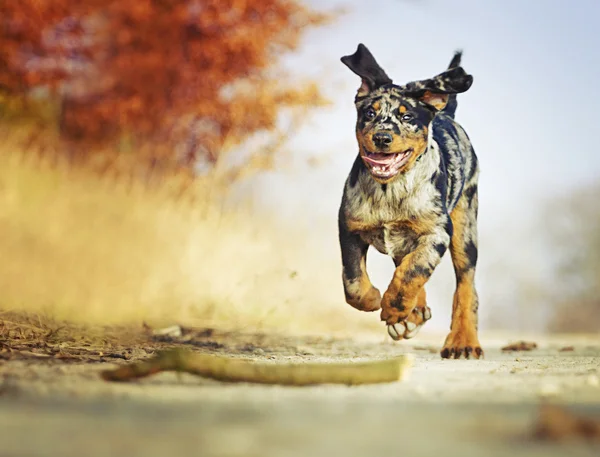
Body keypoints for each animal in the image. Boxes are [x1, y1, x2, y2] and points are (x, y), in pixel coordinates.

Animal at [338, 43, 482, 356]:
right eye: (369, 113)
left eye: (407, 117)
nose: (381, 137)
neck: (390, 190)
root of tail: (446, 114)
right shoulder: (350, 226)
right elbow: (353, 280)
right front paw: (374, 299)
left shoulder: (438, 232)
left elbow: (413, 271)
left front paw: (394, 308)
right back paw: (415, 315)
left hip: (465, 228)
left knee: (466, 285)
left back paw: (463, 341)